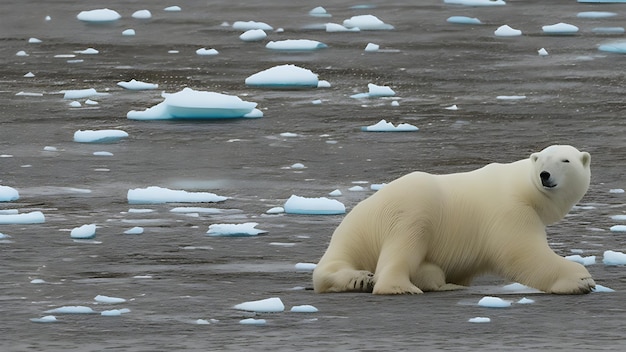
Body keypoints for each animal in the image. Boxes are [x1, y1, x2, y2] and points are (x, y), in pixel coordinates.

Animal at [314, 145, 592, 294]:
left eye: (565, 160)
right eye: (542, 160)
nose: (545, 175)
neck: (524, 189)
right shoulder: (509, 211)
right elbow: (523, 253)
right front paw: (581, 280)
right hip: (411, 206)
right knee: (404, 244)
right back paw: (391, 284)